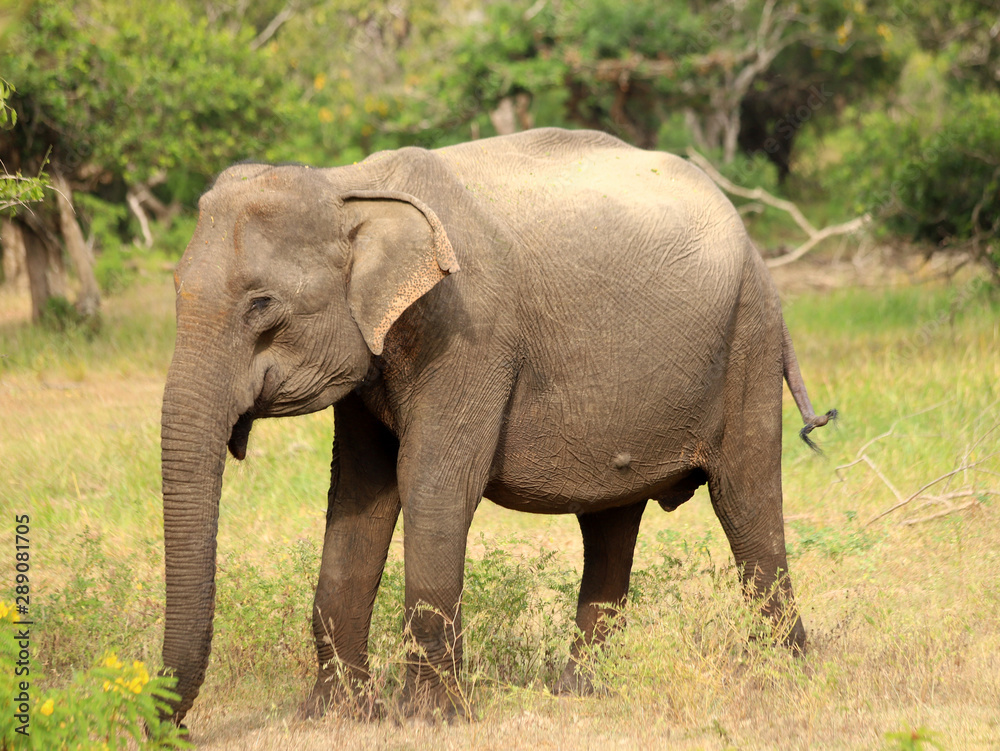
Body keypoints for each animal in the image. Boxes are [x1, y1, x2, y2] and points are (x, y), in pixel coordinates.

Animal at [159, 127, 834, 725]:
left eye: (262, 306)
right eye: (175, 289)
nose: (172, 727)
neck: (350, 184)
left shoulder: (469, 332)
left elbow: (432, 486)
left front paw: (430, 721)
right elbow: (358, 496)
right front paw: (335, 717)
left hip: (749, 337)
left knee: (746, 501)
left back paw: (788, 682)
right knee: (611, 522)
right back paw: (578, 693)